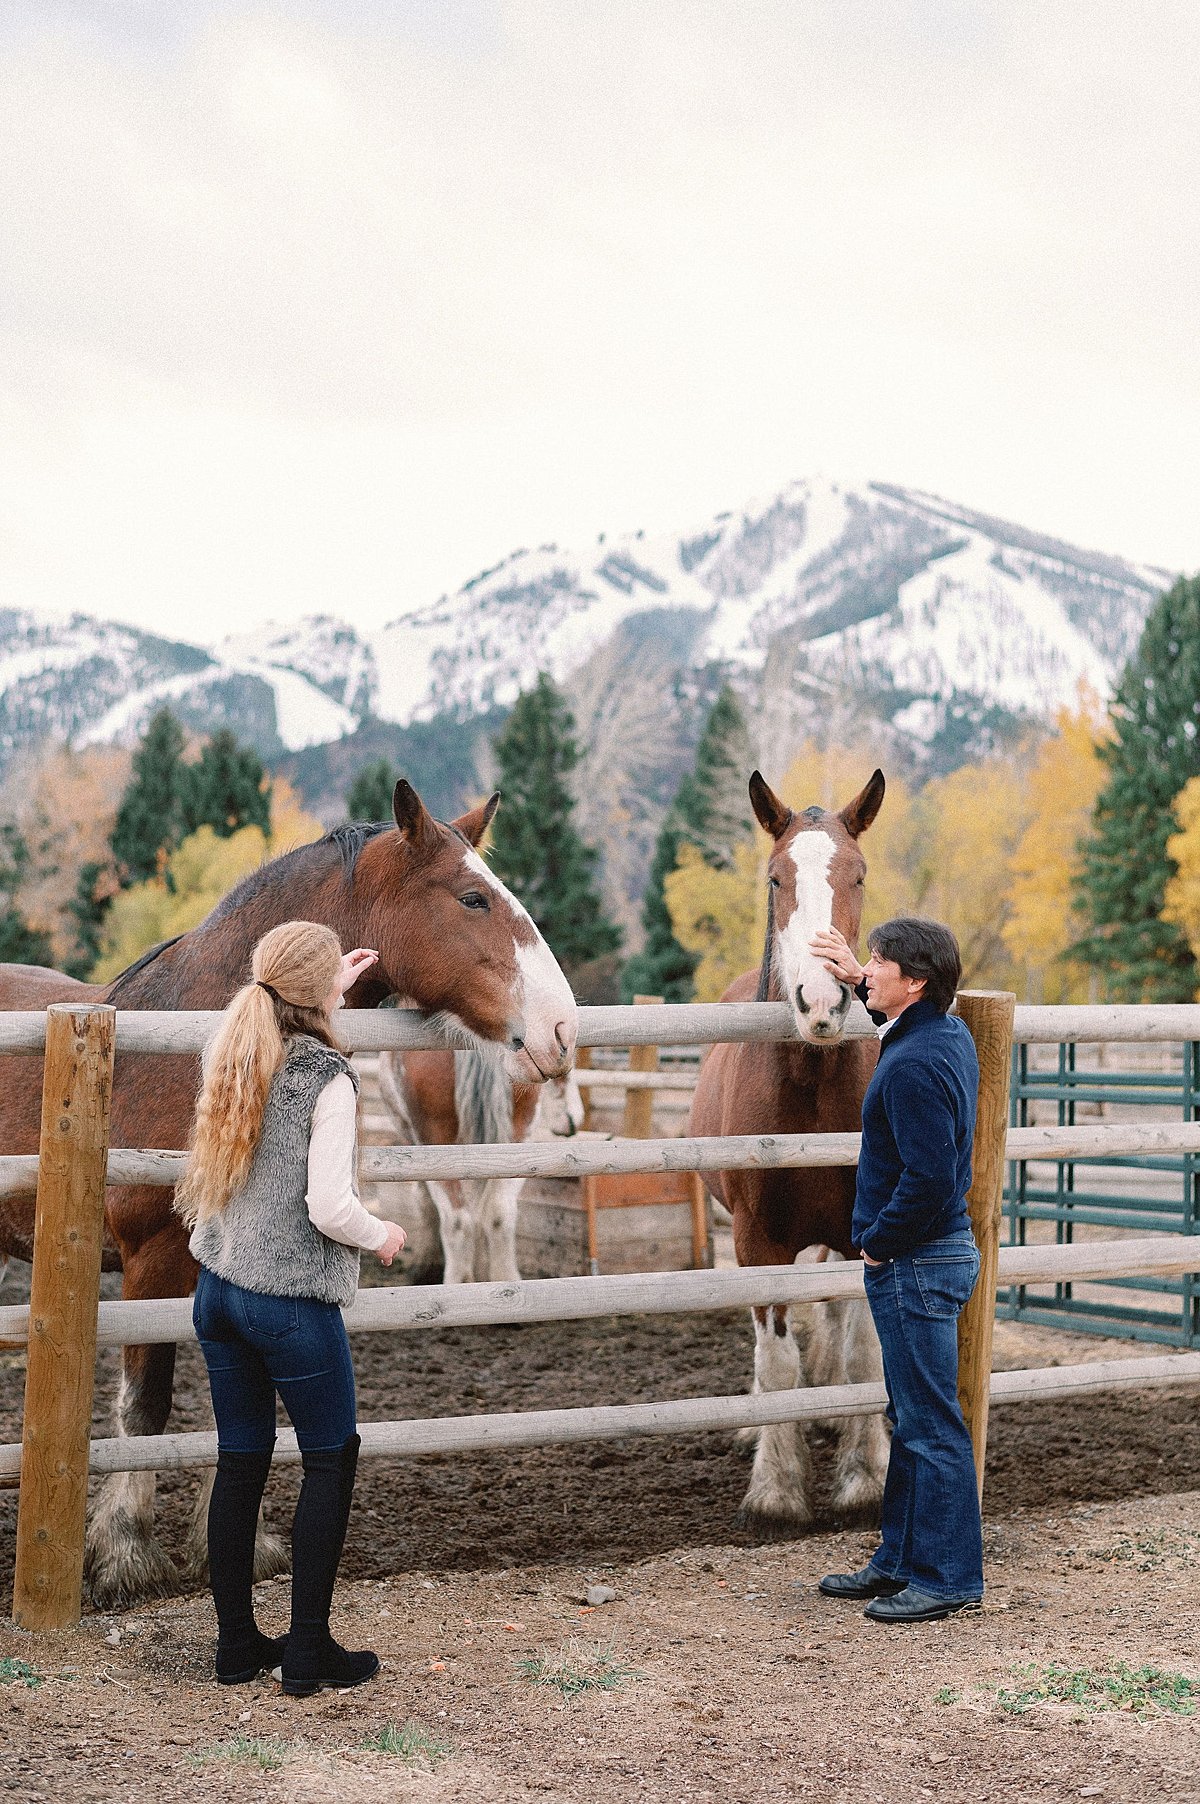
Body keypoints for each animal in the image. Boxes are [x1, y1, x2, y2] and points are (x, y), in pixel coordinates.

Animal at [375, 1046, 581, 1284]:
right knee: (499, 1213)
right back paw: (504, 1279)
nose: (573, 1120)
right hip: (518, 1140)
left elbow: (426, 1202)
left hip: (434, 1144)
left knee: (457, 1220)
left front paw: (426, 1267)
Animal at [682, 768, 887, 1529]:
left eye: (857, 875)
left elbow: (863, 1358)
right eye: (776, 878)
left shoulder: (865, 1233)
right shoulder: (756, 1240)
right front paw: (776, 1487)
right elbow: (776, 1360)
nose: (820, 1002)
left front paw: (865, 1474)